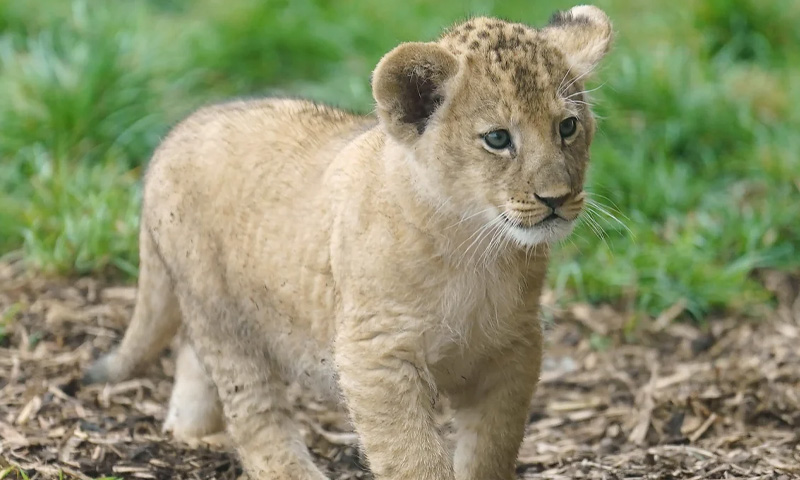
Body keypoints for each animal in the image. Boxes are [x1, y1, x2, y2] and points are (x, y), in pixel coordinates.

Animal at [85, 5, 613, 479]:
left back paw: (193, 433)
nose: (556, 198)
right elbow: (413, 458)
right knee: (253, 410)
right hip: (220, 311)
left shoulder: (513, 350)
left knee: (193, 360)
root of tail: (172, 137)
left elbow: (491, 448)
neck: (476, 247)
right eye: (498, 139)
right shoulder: (375, 355)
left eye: (567, 127)